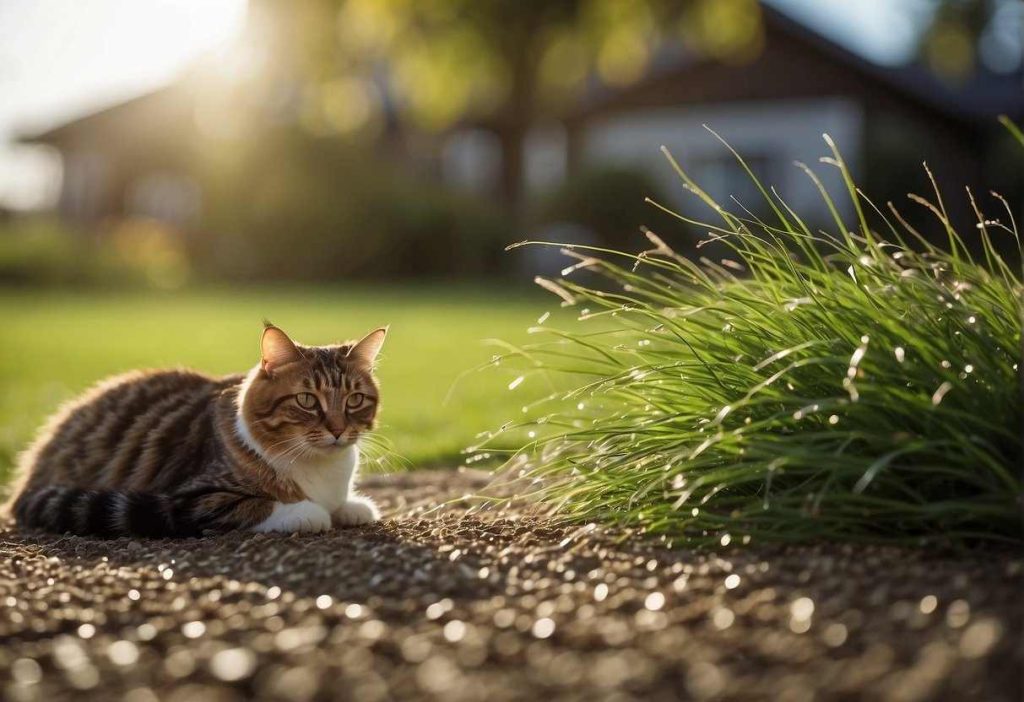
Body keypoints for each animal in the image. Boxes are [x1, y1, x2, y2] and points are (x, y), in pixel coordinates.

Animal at [3, 325, 387, 540]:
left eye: (354, 400)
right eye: (307, 400)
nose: (337, 429)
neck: (321, 469)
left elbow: (343, 504)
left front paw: (351, 506)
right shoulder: (190, 498)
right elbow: (264, 505)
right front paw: (310, 512)